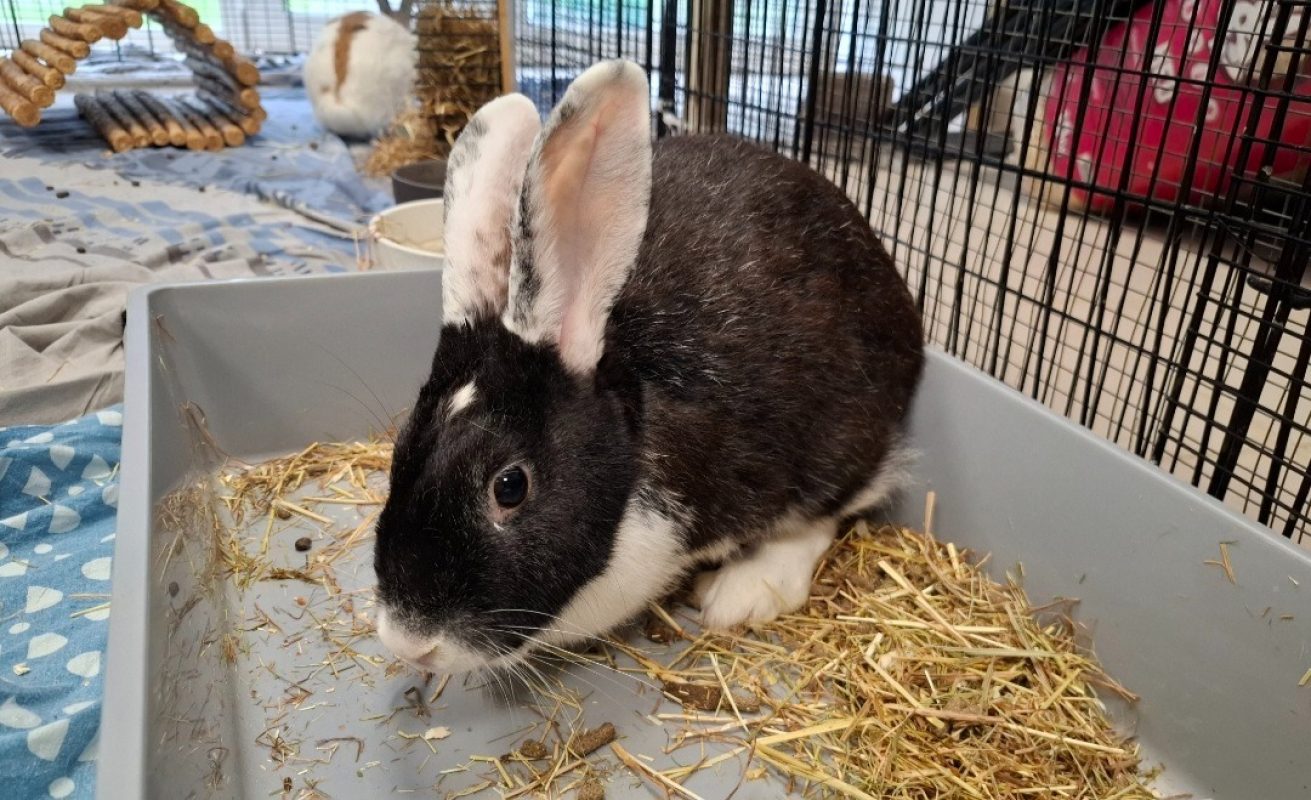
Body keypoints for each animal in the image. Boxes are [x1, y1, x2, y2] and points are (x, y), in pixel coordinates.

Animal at [373, 60, 924, 674]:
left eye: (510, 486)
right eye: (401, 447)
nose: (408, 642)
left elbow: (812, 521)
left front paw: (741, 593)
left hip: (851, 428)